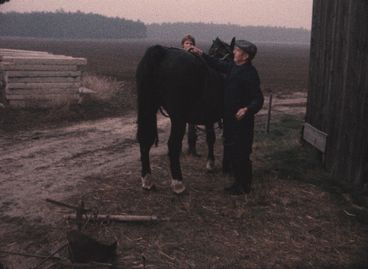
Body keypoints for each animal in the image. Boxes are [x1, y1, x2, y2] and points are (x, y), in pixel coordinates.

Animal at [137, 37, 234, 193]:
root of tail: (162, 52)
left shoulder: (209, 117)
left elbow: (210, 138)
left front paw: (211, 163)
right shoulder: (225, 116)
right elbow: (226, 139)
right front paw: (226, 165)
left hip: (148, 107)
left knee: (144, 140)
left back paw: (147, 180)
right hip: (178, 117)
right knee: (173, 144)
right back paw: (178, 183)